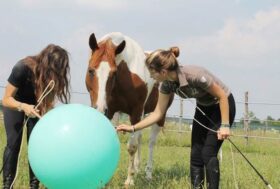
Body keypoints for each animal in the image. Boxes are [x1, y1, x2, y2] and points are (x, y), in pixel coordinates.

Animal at [85, 32, 173, 186]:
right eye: (91, 70)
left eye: (114, 73)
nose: (100, 109)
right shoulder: (112, 112)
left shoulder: (136, 112)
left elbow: (132, 147)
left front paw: (129, 180)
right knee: (140, 137)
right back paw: (137, 169)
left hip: (159, 116)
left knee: (151, 142)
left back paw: (148, 174)